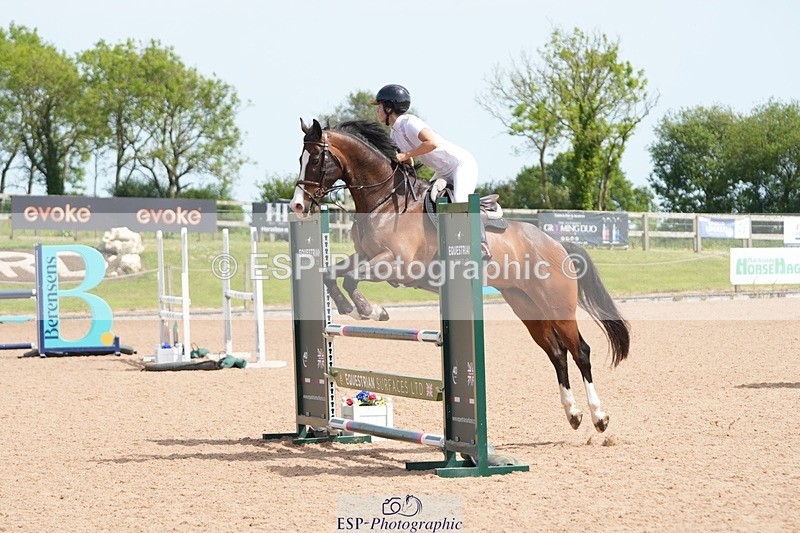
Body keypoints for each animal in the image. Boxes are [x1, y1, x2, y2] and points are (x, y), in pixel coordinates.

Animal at [290, 118, 630, 433]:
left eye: (316, 158)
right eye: (300, 158)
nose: (297, 205)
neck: (384, 201)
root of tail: (556, 243)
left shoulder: (396, 264)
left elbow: (350, 278)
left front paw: (369, 310)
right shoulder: (366, 256)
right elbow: (331, 273)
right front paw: (353, 308)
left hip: (557, 307)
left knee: (580, 351)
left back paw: (599, 417)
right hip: (526, 306)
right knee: (557, 353)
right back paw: (573, 414)